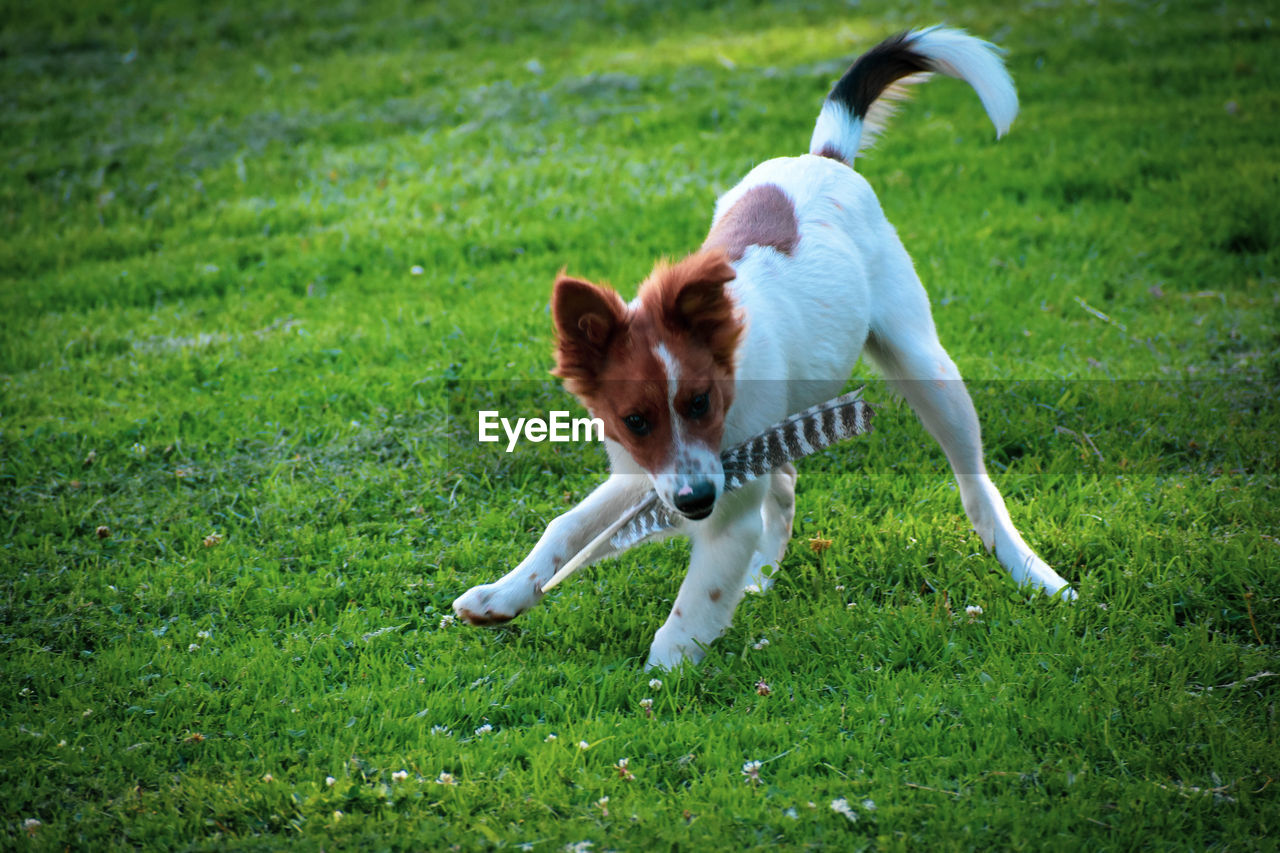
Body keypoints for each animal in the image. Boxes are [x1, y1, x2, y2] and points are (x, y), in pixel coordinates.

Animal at [455, 26, 1075, 666]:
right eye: (635, 420)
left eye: (700, 403)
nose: (694, 502)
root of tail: (823, 156)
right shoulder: (645, 473)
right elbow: (566, 527)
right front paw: (504, 593)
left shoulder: (721, 508)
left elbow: (694, 602)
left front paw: (662, 674)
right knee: (786, 484)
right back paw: (762, 574)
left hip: (924, 364)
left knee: (975, 486)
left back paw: (1033, 573)